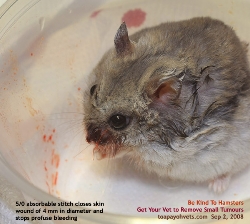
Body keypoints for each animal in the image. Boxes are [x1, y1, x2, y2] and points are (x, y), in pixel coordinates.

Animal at [83, 17, 250, 192]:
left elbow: (125, 150)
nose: (88, 140)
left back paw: (216, 188)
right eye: (92, 89)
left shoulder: (156, 153)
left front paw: (96, 153)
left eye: (118, 121)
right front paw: (96, 153)